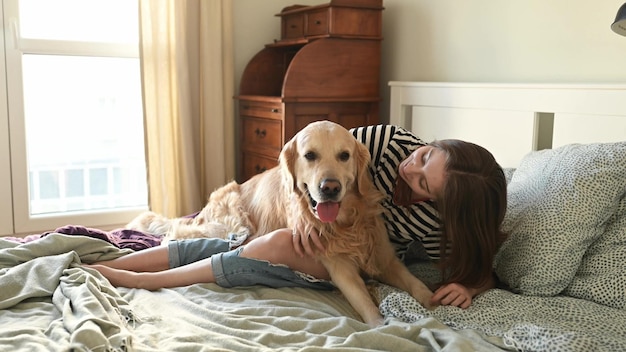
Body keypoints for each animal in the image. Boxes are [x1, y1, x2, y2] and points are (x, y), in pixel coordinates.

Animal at [127, 121, 434, 328]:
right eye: (310, 155)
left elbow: (414, 282)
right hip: (230, 226)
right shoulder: (339, 267)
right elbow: (363, 301)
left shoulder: (384, 257)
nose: (330, 188)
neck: (346, 224)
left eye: (344, 155)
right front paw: (379, 323)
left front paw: (435, 300)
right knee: (176, 234)